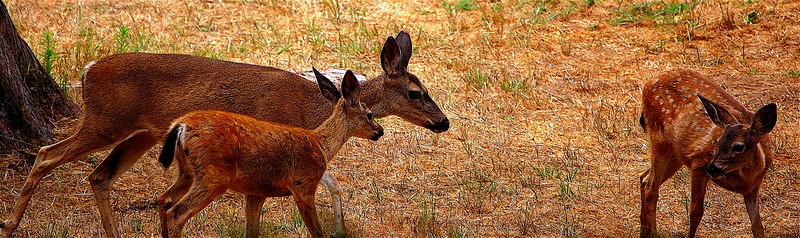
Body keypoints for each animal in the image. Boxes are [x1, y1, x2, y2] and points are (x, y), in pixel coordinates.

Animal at [158, 68, 380, 237]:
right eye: (370, 115)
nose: (380, 131)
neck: (321, 143)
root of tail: (181, 126)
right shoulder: (303, 184)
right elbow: (317, 232)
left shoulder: (256, 192)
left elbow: (252, 231)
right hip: (214, 175)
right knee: (176, 213)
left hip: (188, 172)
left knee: (163, 199)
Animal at [636, 69, 776, 237]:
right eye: (718, 142)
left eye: (739, 146)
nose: (713, 168)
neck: (745, 178)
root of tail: (648, 83)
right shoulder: (699, 161)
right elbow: (696, 212)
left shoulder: (753, 187)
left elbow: (757, 225)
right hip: (659, 139)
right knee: (651, 188)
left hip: (676, 154)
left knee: (644, 178)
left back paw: (644, 231)